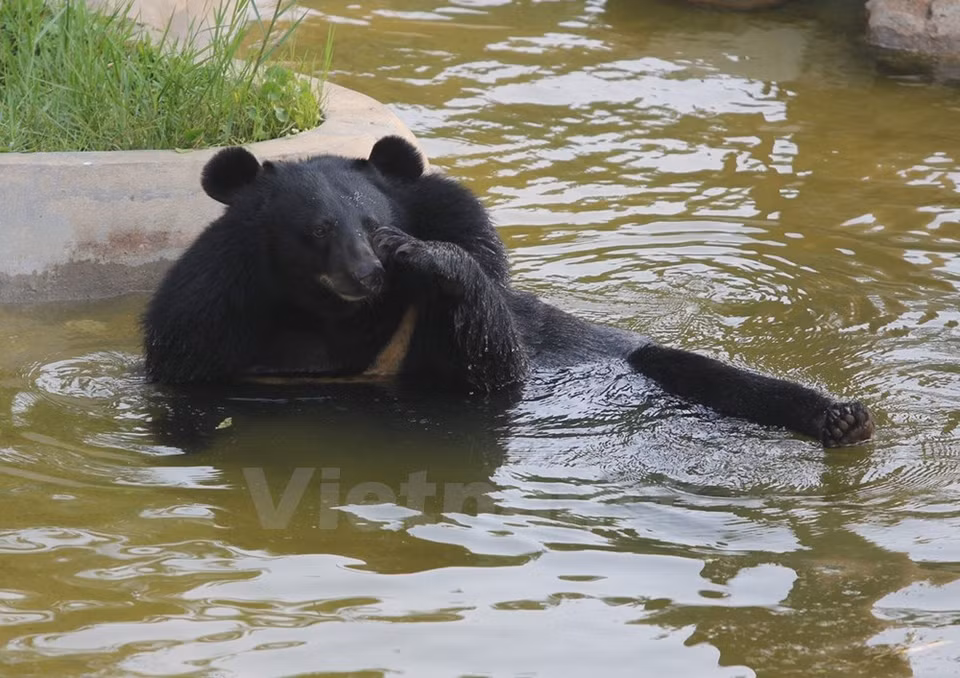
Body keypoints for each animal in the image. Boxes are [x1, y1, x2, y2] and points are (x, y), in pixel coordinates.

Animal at [142, 136, 875, 449]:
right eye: (317, 232)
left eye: (373, 226)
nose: (368, 271)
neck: (335, 318)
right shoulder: (208, 319)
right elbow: (187, 385)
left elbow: (492, 362)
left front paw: (427, 257)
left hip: (625, 354)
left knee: (700, 371)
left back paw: (840, 417)